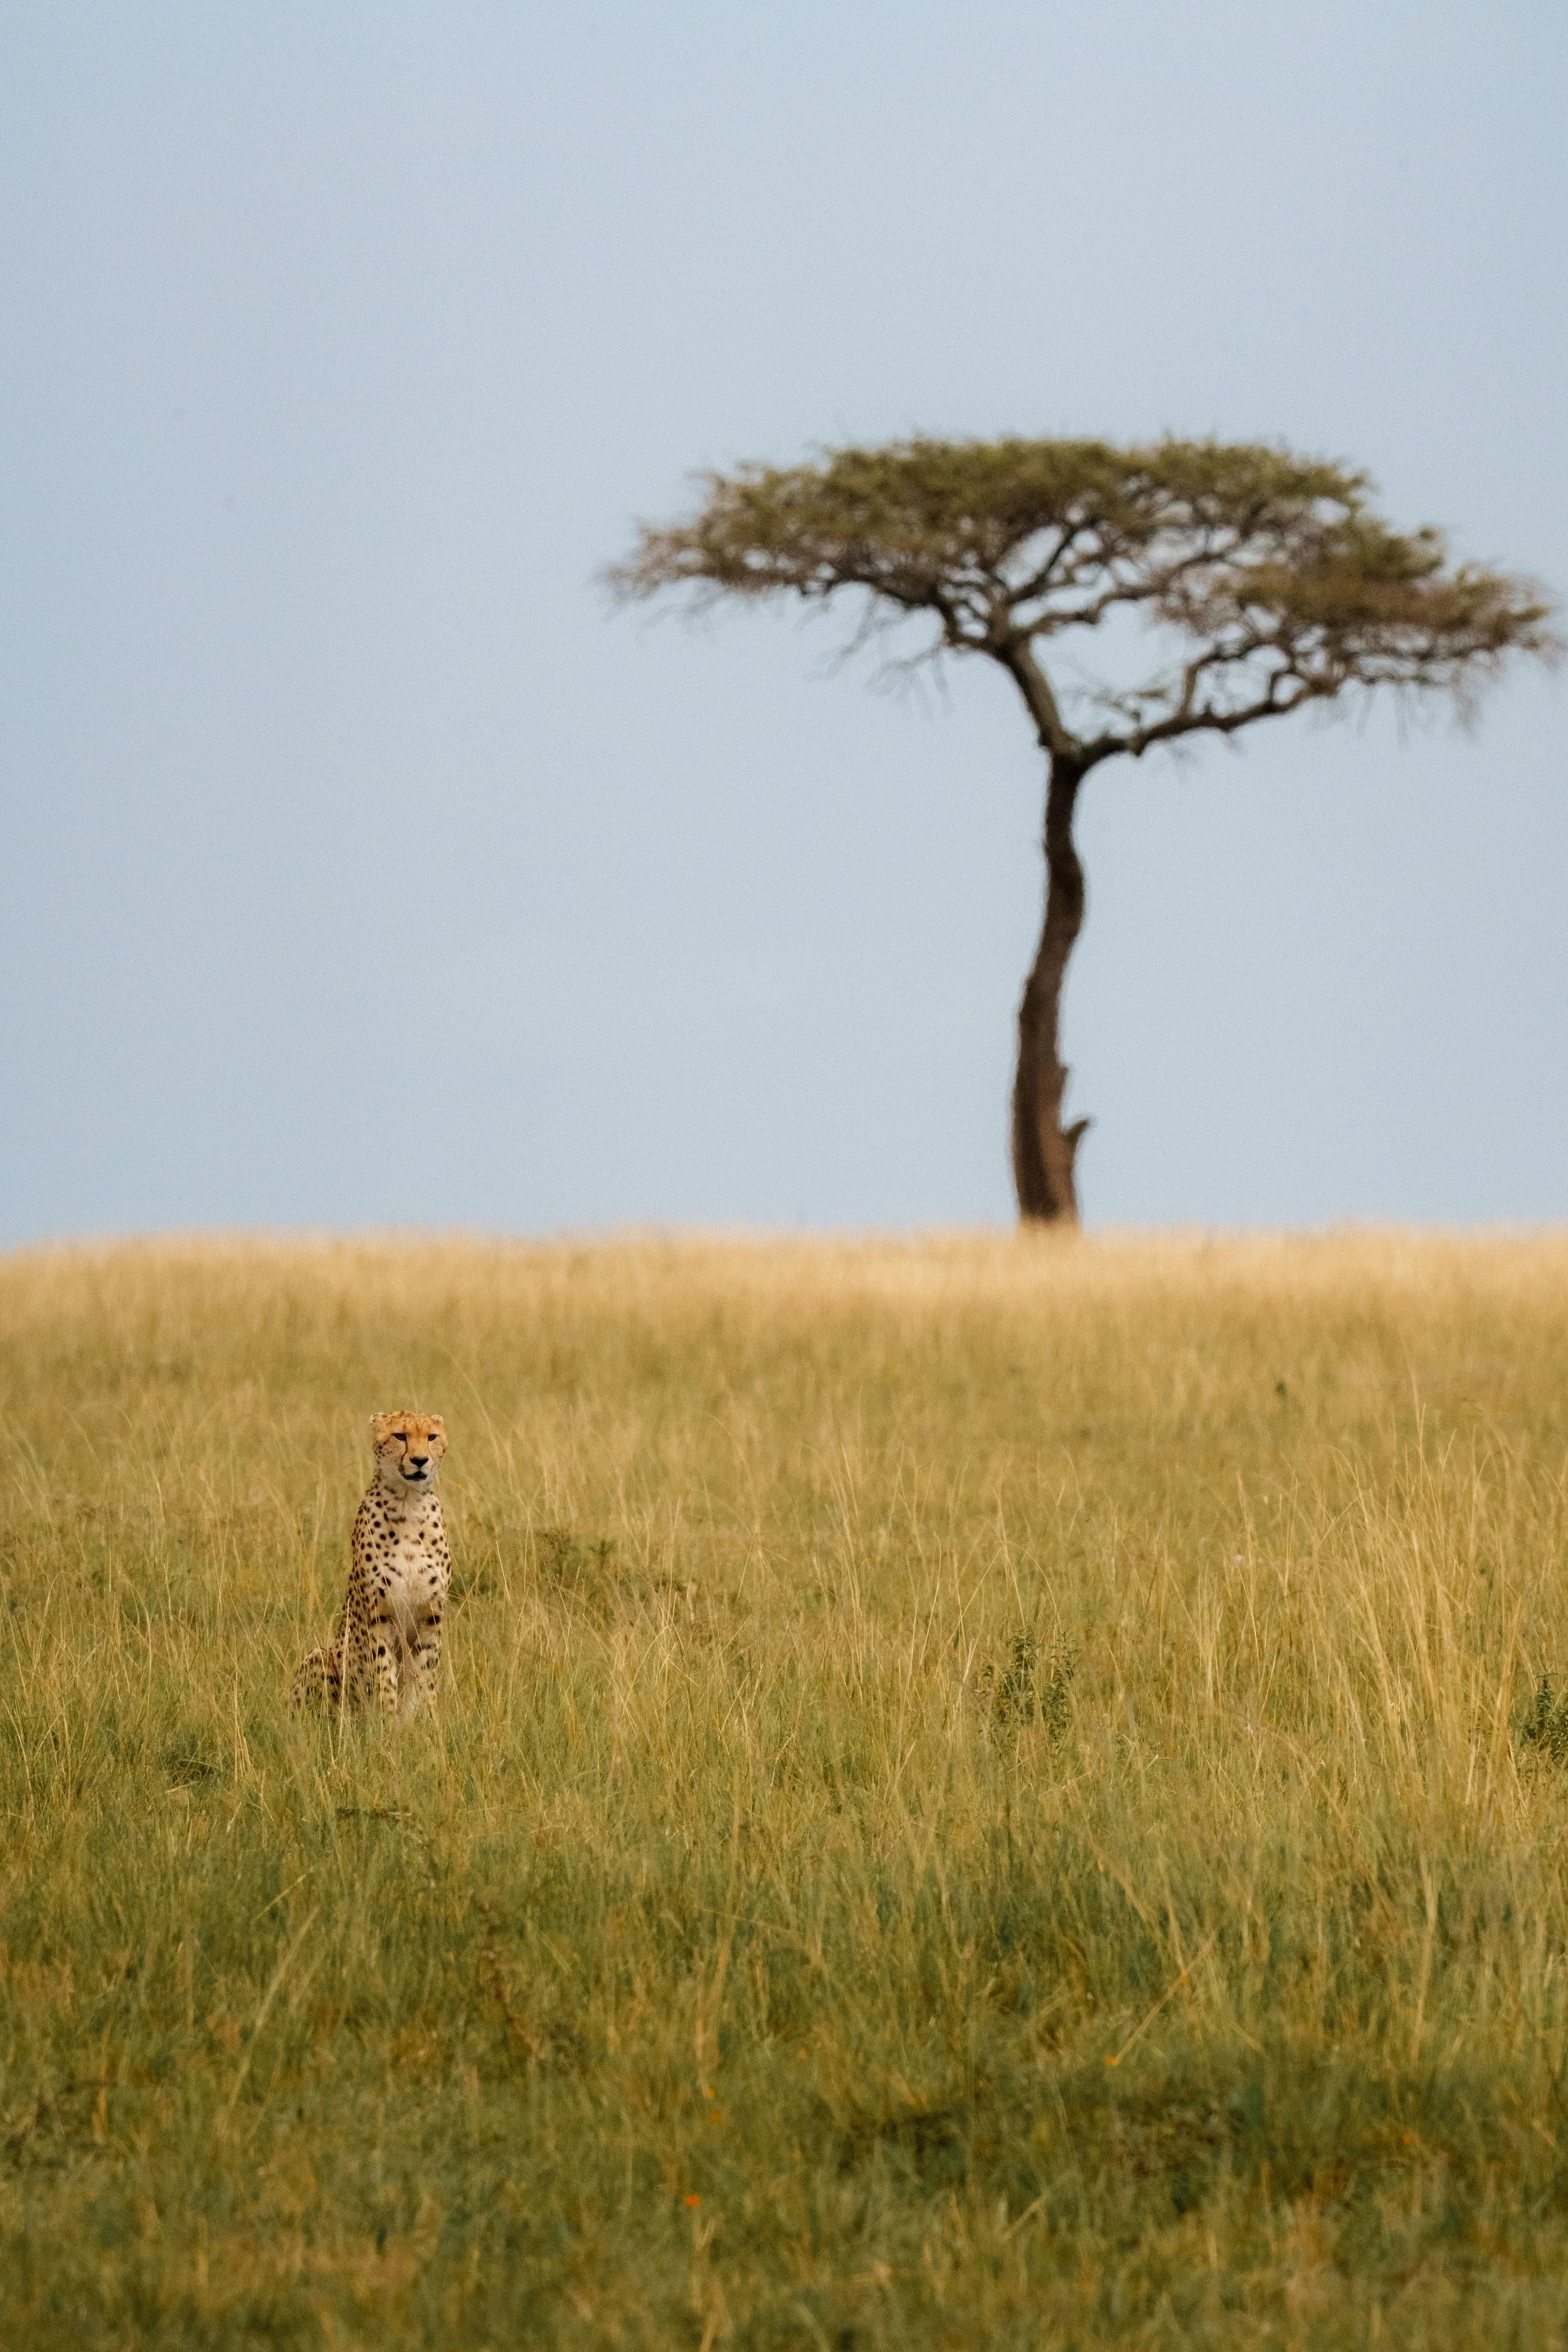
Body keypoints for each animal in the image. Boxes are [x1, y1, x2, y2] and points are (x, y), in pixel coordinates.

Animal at [290, 1411, 451, 1719]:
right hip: (320, 1657)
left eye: (432, 1437)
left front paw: (428, 1723)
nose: (420, 1461)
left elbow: (426, 1676)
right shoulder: (378, 1617)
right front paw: (386, 1722)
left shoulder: (431, 1616)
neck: (408, 1502)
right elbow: (383, 1675)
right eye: (400, 1436)